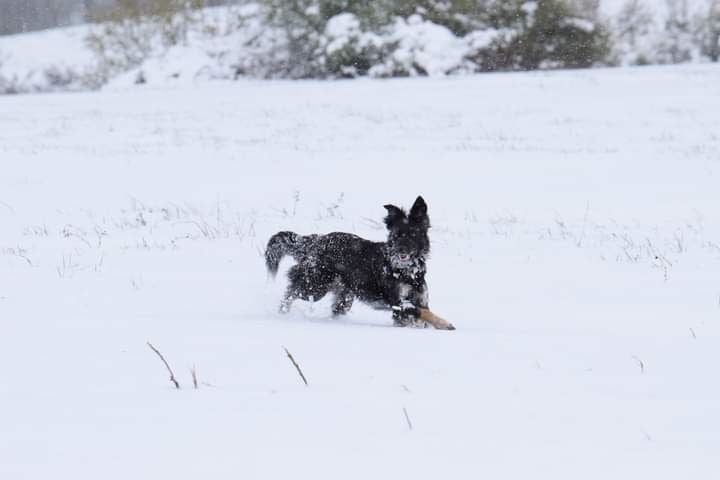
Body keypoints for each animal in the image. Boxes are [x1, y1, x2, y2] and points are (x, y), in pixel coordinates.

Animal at [264, 196, 456, 330]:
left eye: (413, 235)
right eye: (397, 235)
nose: (400, 250)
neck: (408, 272)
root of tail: (316, 240)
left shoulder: (420, 300)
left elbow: (423, 314)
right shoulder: (398, 302)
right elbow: (422, 313)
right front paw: (445, 324)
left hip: (344, 297)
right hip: (315, 286)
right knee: (290, 292)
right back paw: (282, 314)